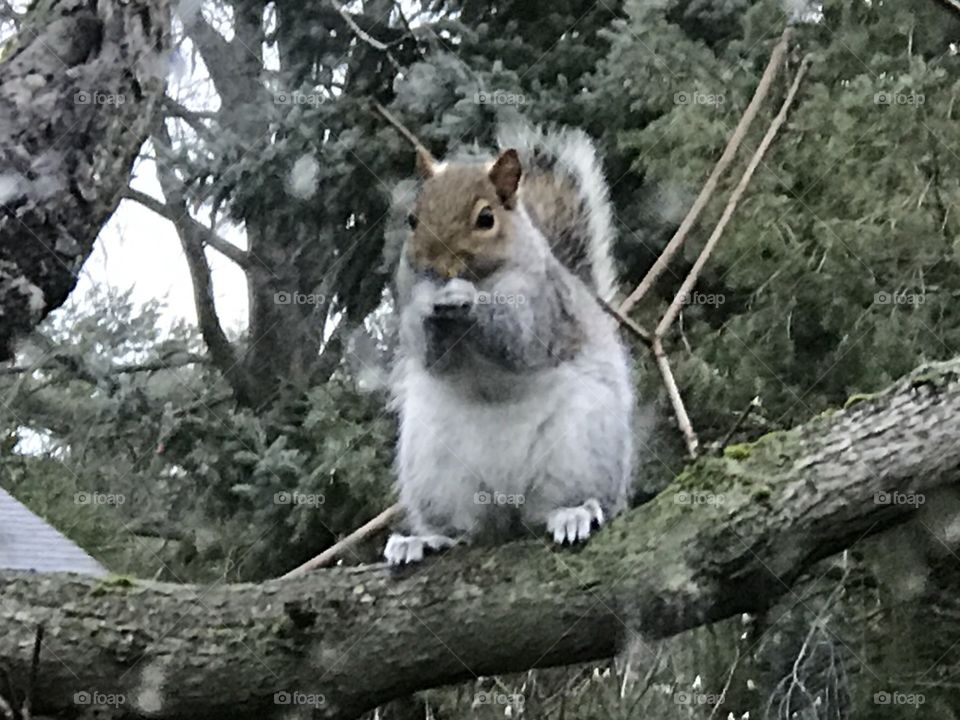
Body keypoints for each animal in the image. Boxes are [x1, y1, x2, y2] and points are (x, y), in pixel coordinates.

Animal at [384, 123, 636, 565]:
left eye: (486, 218)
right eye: (413, 220)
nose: (434, 265)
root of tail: (507, 508)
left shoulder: (543, 307)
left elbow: (517, 341)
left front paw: (467, 300)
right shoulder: (411, 313)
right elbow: (430, 352)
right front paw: (436, 304)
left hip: (581, 447)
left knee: (563, 504)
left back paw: (574, 513)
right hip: (435, 468)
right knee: (465, 530)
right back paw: (427, 541)